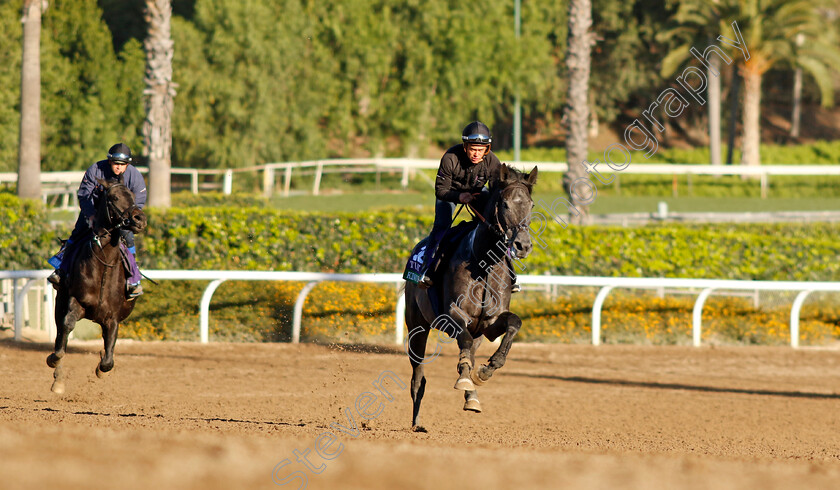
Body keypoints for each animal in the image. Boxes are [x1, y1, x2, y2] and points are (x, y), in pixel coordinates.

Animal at [47, 178, 148, 392]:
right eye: (114, 197)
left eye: (133, 196)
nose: (139, 219)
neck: (104, 262)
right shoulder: (75, 301)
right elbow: (64, 334)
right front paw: (54, 360)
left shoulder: (112, 318)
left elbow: (108, 360)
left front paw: (102, 367)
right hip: (59, 303)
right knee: (60, 334)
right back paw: (58, 378)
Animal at [402, 164, 536, 428]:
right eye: (505, 204)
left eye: (531, 204)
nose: (523, 245)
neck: (483, 263)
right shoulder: (453, 314)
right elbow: (462, 341)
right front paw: (465, 376)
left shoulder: (489, 323)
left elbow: (514, 323)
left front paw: (487, 370)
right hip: (416, 327)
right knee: (418, 377)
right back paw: (416, 422)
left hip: (477, 334)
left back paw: (472, 396)